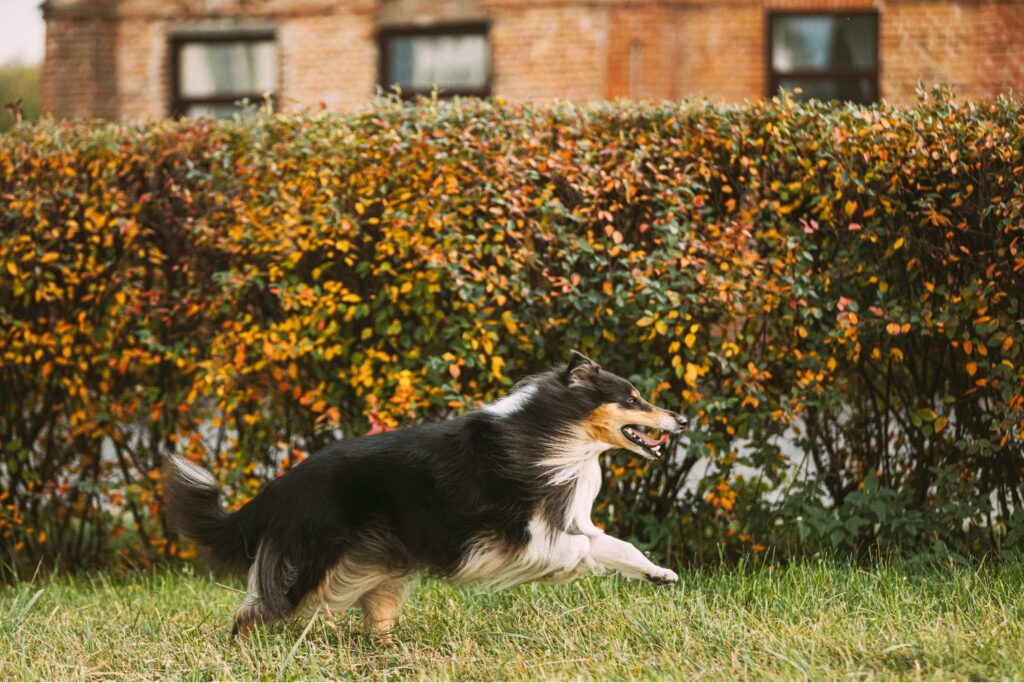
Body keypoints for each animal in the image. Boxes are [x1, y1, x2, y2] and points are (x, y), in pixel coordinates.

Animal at [167, 352, 688, 634]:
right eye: (633, 397)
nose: (682, 420)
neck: (553, 430)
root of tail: (276, 490)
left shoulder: (563, 521)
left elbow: (616, 544)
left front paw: (661, 574)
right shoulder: (526, 536)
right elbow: (584, 550)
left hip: (376, 570)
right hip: (310, 564)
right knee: (252, 614)